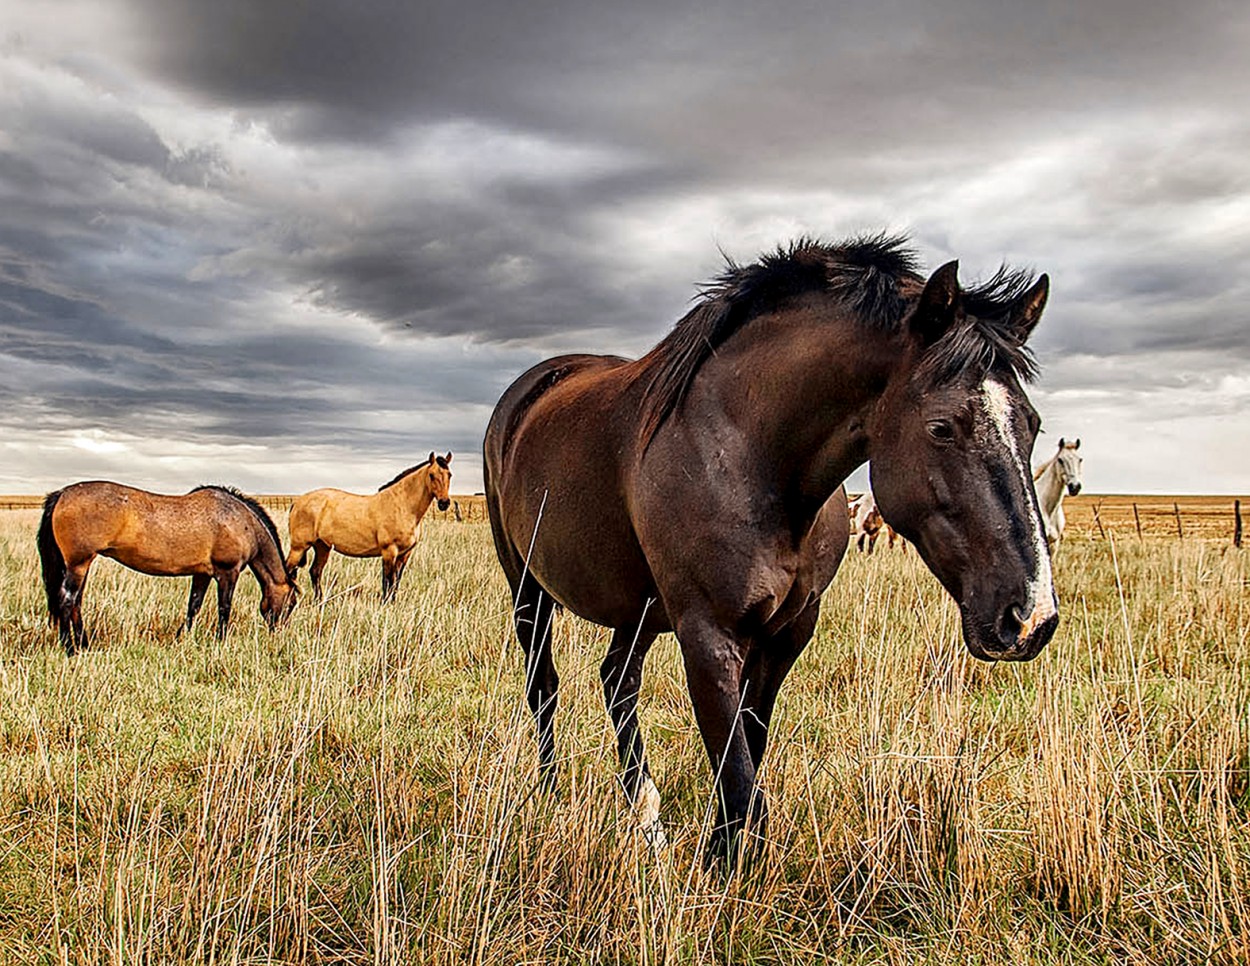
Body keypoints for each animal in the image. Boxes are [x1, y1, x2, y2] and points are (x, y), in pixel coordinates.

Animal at [37, 477, 296, 649]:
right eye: (292, 603)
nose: (278, 633)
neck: (241, 521)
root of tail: (62, 494)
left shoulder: (202, 574)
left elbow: (193, 606)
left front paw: (181, 637)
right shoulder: (227, 573)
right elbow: (224, 608)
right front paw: (220, 641)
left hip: (80, 565)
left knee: (76, 603)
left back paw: (83, 644)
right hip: (78, 564)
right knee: (67, 600)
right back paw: (69, 647)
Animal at [286, 449, 452, 599]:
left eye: (449, 475)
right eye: (431, 475)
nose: (444, 503)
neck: (403, 506)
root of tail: (297, 502)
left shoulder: (405, 554)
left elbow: (396, 582)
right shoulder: (389, 551)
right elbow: (388, 581)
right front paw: (386, 604)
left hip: (322, 547)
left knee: (315, 572)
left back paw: (319, 601)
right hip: (298, 548)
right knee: (289, 570)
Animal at [482, 234, 1060, 864]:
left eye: (1032, 425)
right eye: (941, 427)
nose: (1030, 618)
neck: (747, 452)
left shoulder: (787, 633)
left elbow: (746, 757)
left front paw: (716, 853)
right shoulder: (707, 635)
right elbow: (740, 786)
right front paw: (722, 870)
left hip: (639, 608)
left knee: (617, 682)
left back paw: (646, 816)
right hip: (528, 588)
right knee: (545, 685)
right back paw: (547, 792)